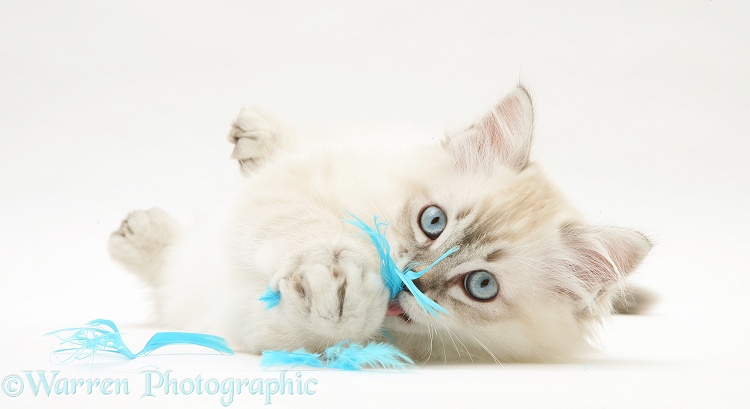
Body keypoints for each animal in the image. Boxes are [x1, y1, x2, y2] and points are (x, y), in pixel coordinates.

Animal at [108, 87, 656, 362]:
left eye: (481, 286)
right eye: (432, 221)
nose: (409, 279)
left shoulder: (247, 322)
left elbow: (306, 331)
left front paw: (338, 303)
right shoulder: (296, 186)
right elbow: (300, 225)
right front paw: (333, 277)